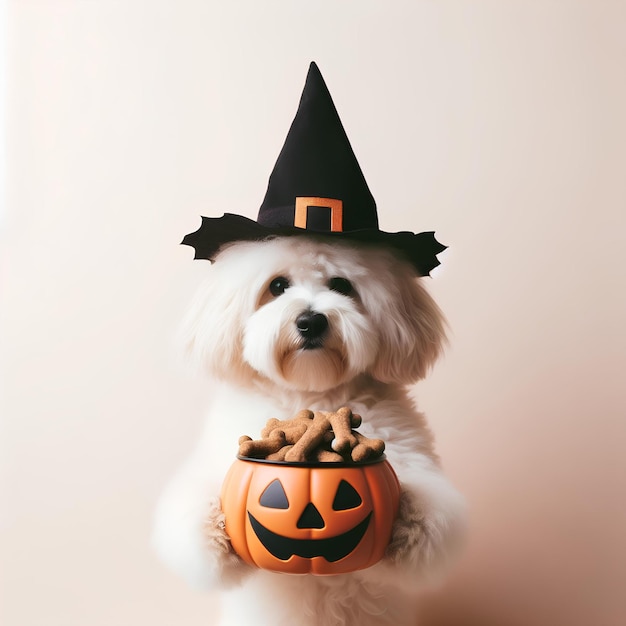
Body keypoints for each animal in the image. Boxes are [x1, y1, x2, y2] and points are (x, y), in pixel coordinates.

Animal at [150, 235, 464, 624]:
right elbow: (195, 512)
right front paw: (212, 531)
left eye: (342, 285)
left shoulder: (414, 456)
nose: (311, 321)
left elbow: (430, 514)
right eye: (277, 286)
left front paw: (408, 515)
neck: (311, 395)